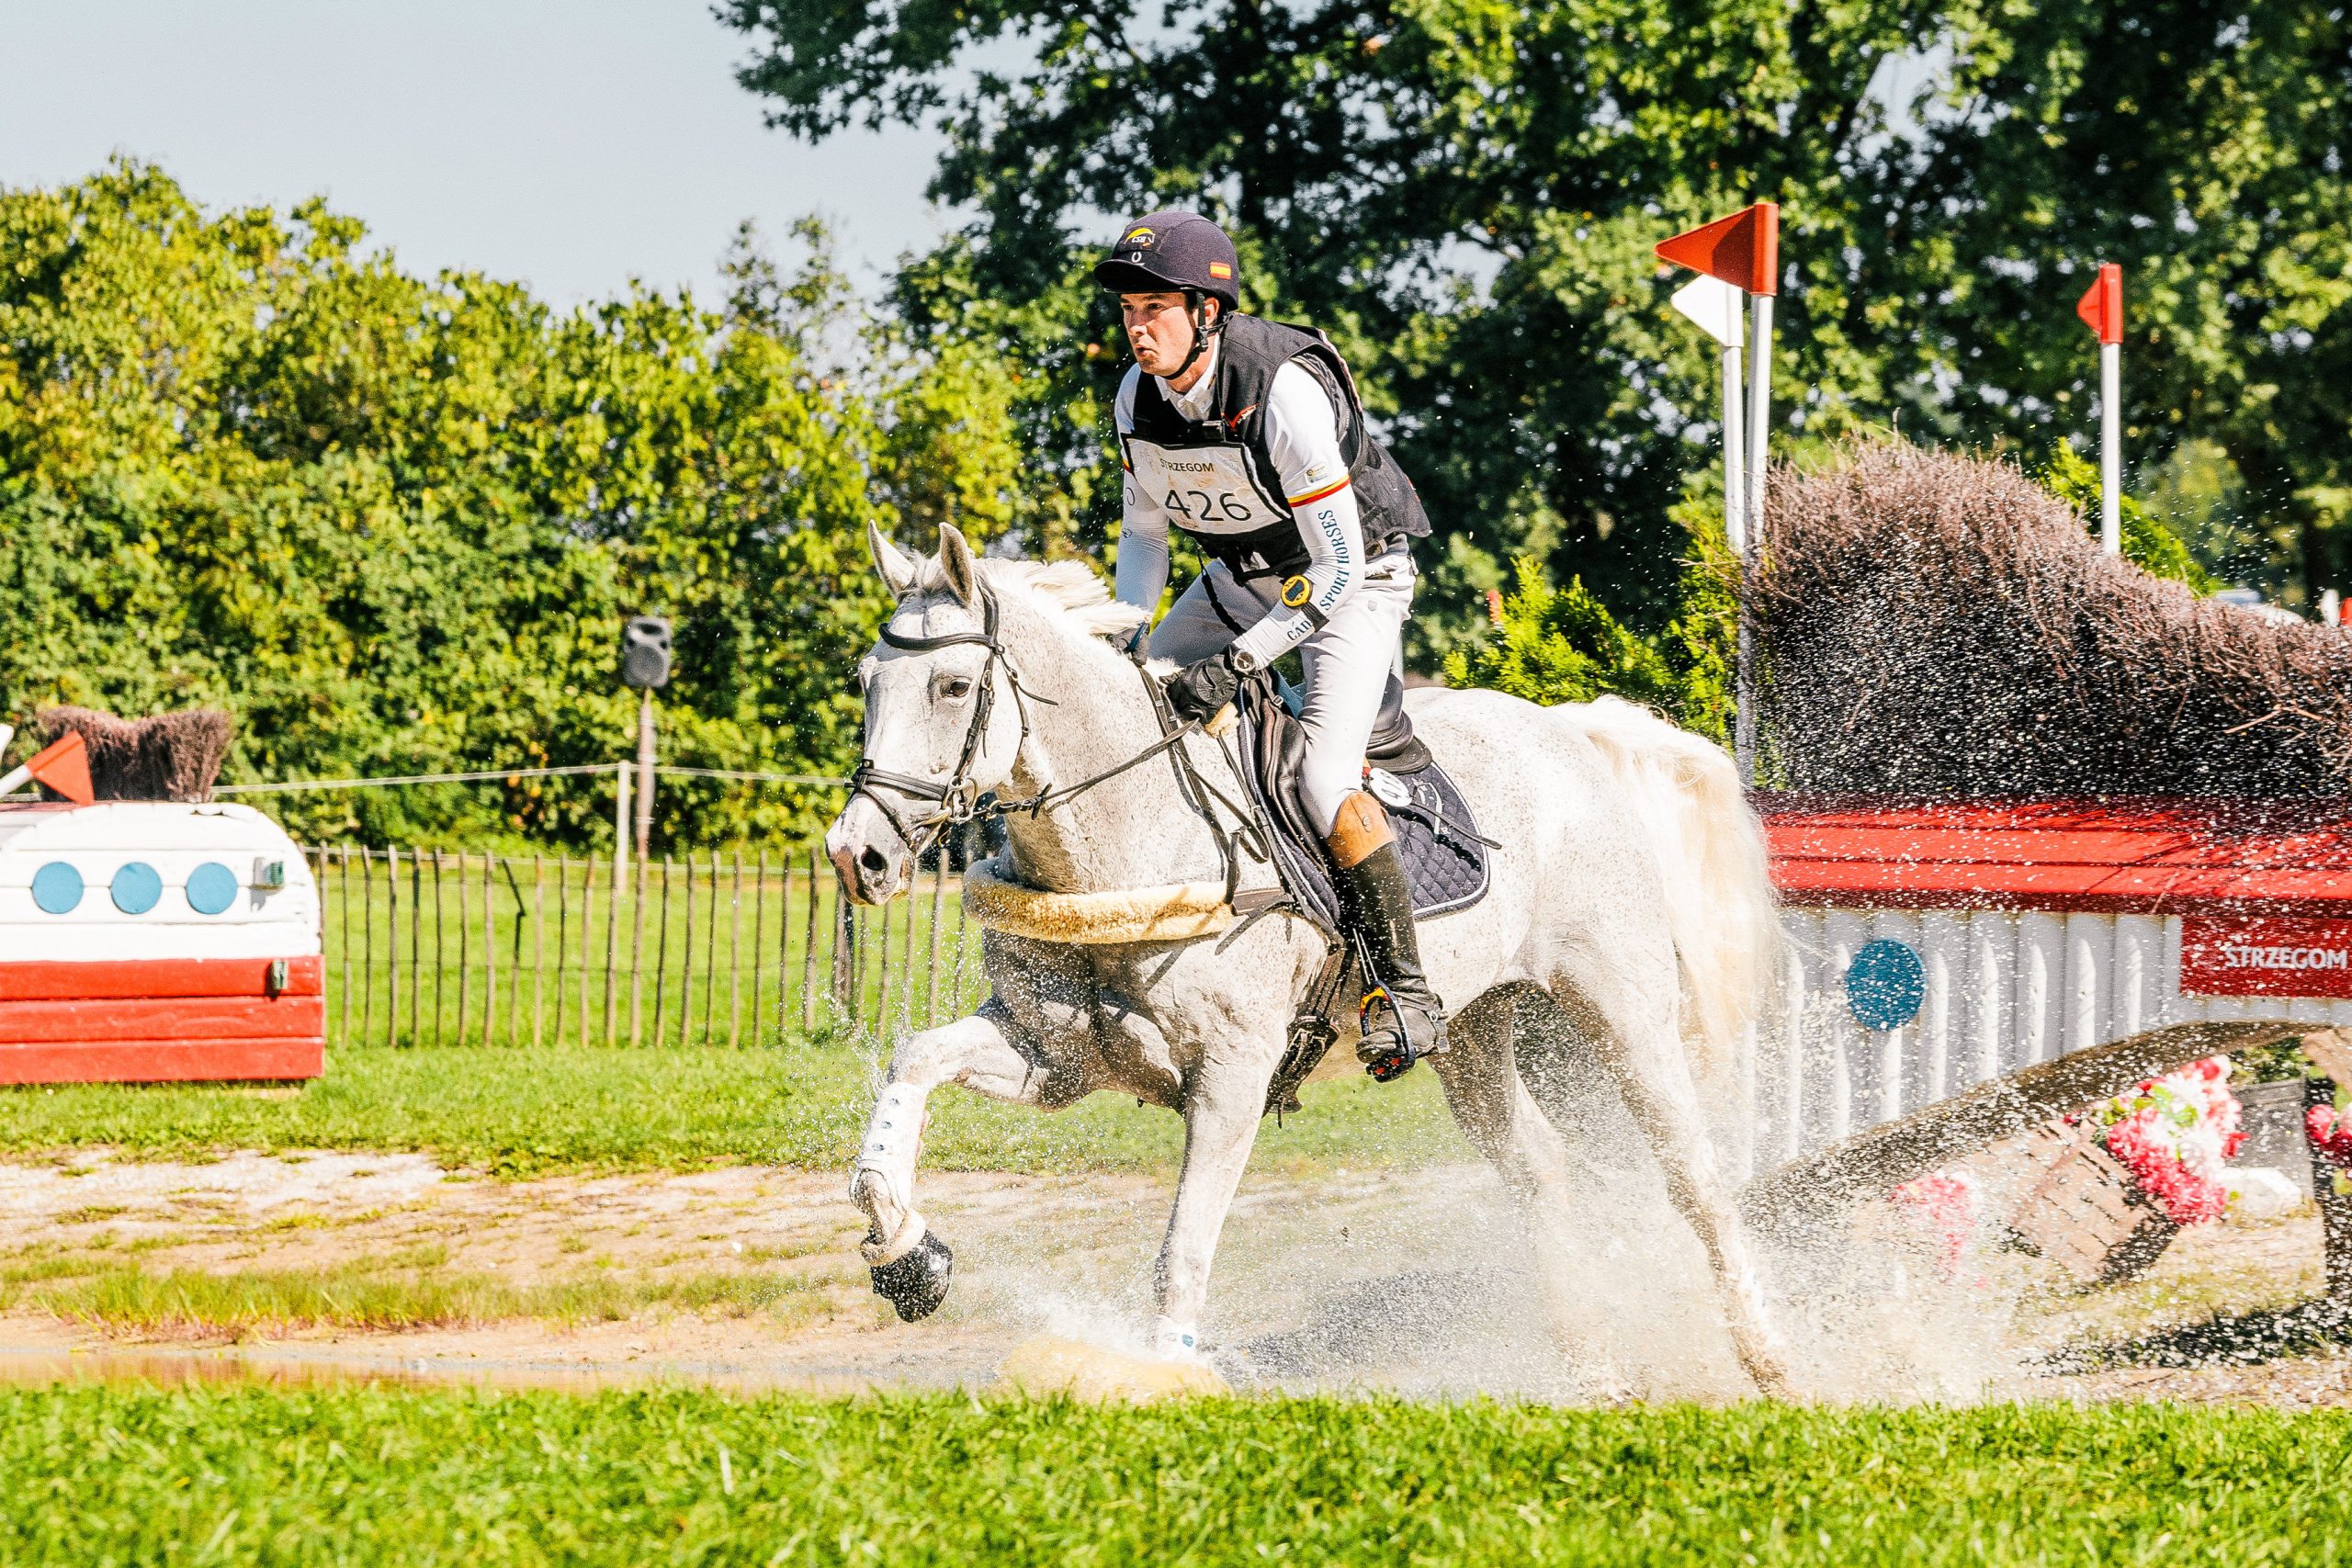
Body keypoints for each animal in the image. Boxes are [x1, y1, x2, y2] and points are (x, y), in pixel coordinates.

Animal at [826, 521, 1794, 1396]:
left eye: (953, 685)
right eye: (865, 681)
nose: (856, 855)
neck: (1126, 835)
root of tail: (1574, 732)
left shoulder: (1231, 1076)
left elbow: (1184, 1250)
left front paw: (1164, 1375)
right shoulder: (1054, 1057)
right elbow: (915, 1063)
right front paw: (906, 1253)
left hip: (1622, 1011)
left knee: (1695, 1177)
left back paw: (1771, 1358)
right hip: (1475, 1029)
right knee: (1539, 1165)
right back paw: (1592, 1366)